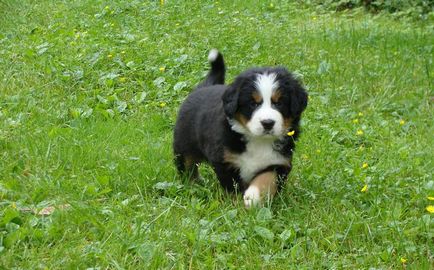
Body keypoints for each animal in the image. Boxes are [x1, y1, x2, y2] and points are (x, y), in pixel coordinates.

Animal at [173, 49, 308, 208]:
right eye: (253, 103)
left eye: (279, 103)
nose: (268, 123)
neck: (258, 140)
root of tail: (204, 87)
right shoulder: (225, 161)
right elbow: (233, 187)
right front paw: (236, 204)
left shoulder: (279, 162)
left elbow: (267, 178)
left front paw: (253, 196)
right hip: (183, 147)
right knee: (187, 167)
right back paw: (193, 185)